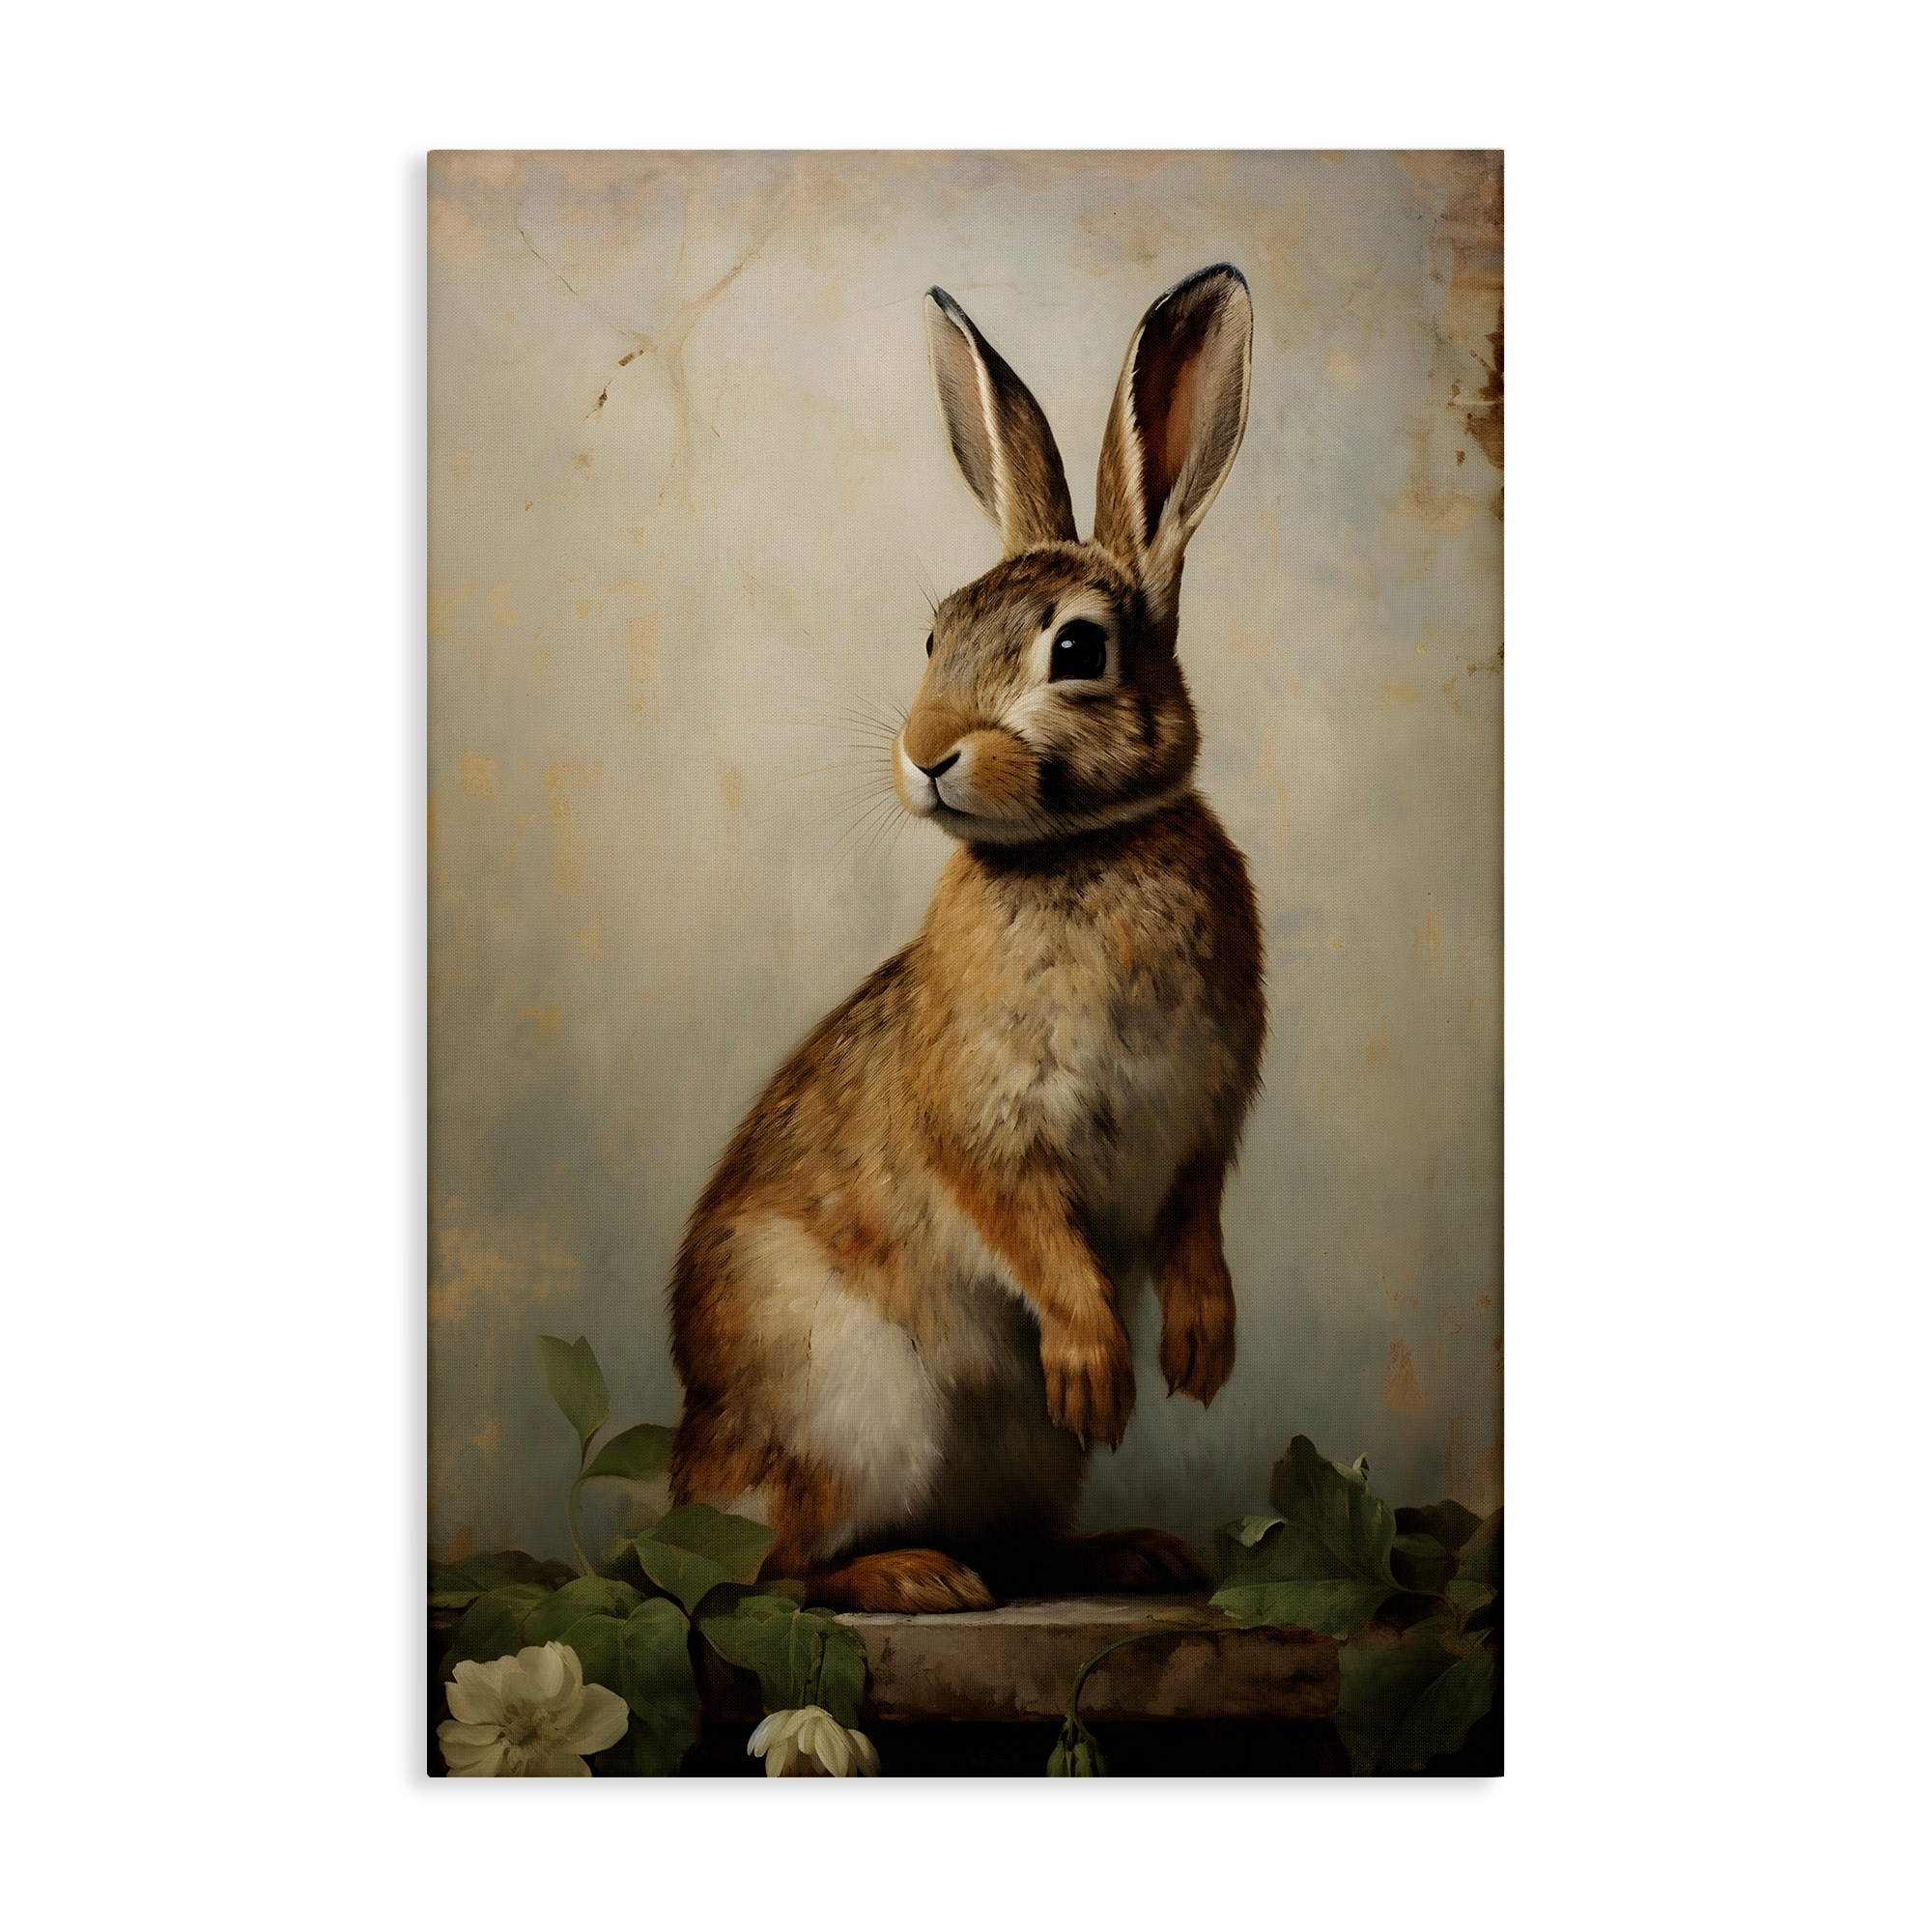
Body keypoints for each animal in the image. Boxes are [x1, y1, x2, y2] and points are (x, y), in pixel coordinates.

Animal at [668, 264, 1265, 1612]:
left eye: (1077, 649)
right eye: (932, 634)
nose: (926, 749)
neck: (1076, 850)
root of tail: (687, 1479)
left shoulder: (1205, 1118)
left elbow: (1195, 1220)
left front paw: (1199, 1351)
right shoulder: (991, 1126)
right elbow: (1033, 1236)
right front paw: (1100, 1364)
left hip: (1016, 1460)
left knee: (1011, 1545)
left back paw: (1126, 1551)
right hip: (853, 1410)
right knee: (775, 1569)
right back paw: (911, 1577)